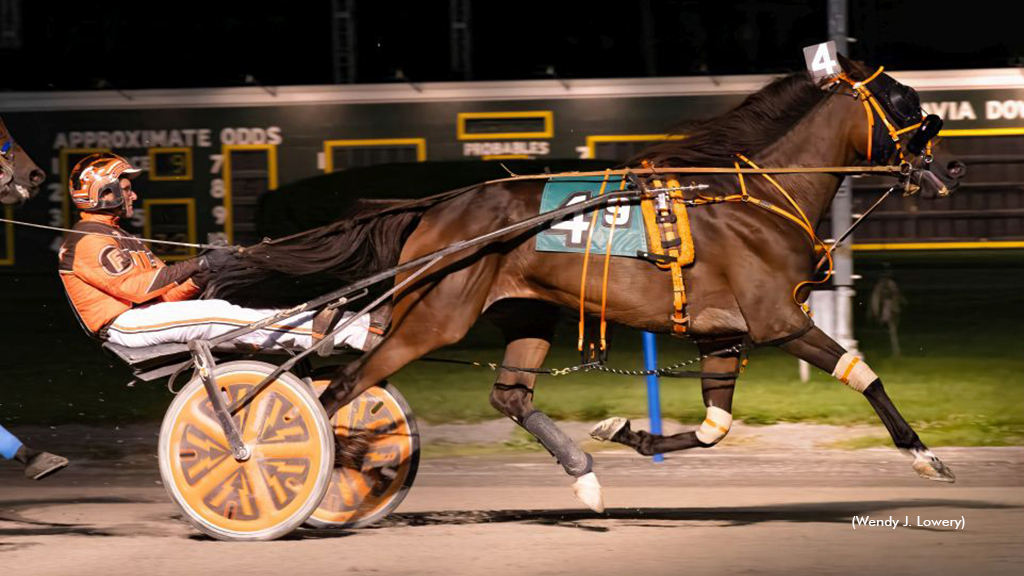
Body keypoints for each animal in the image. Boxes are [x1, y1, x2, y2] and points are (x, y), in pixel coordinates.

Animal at [203, 56, 962, 508]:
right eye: (904, 102)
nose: (949, 167)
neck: (751, 199)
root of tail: (436, 209)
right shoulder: (779, 321)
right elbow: (865, 377)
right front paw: (926, 457)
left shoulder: (725, 336)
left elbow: (713, 427)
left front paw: (629, 432)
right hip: (434, 317)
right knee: (341, 387)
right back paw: (287, 468)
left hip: (528, 315)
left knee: (508, 394)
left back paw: (585, 475)